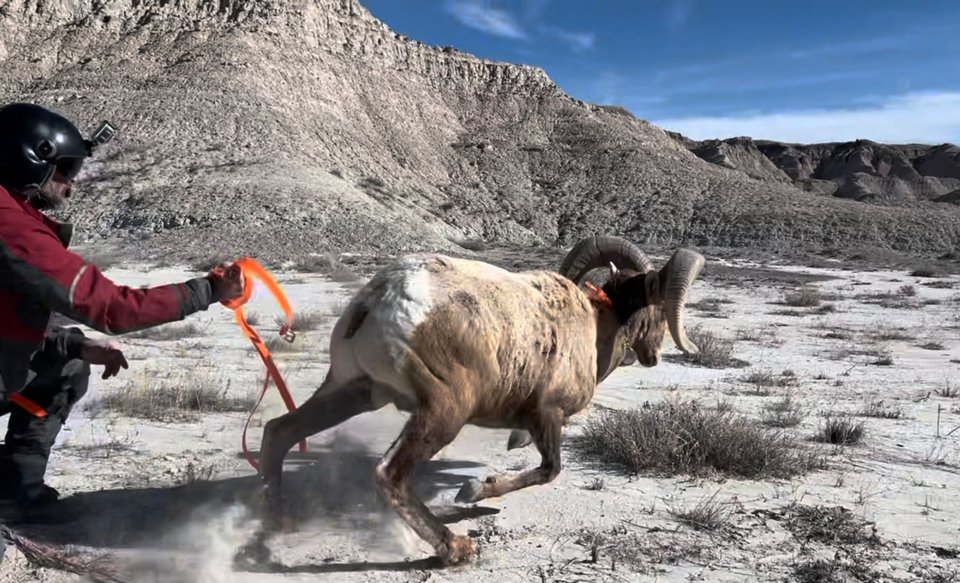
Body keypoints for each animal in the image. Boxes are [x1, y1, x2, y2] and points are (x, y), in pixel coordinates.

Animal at [255, 235, 705, 566]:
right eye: (658, 312)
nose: (653, 356)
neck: (593, 328)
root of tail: (375, 304)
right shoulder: (548, 415)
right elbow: (549, 471)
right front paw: (472, 492)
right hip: (443, 412)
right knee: (388, 473)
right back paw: (455, 548)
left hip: (352, 391)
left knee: (280, 432)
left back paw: (279, 520)